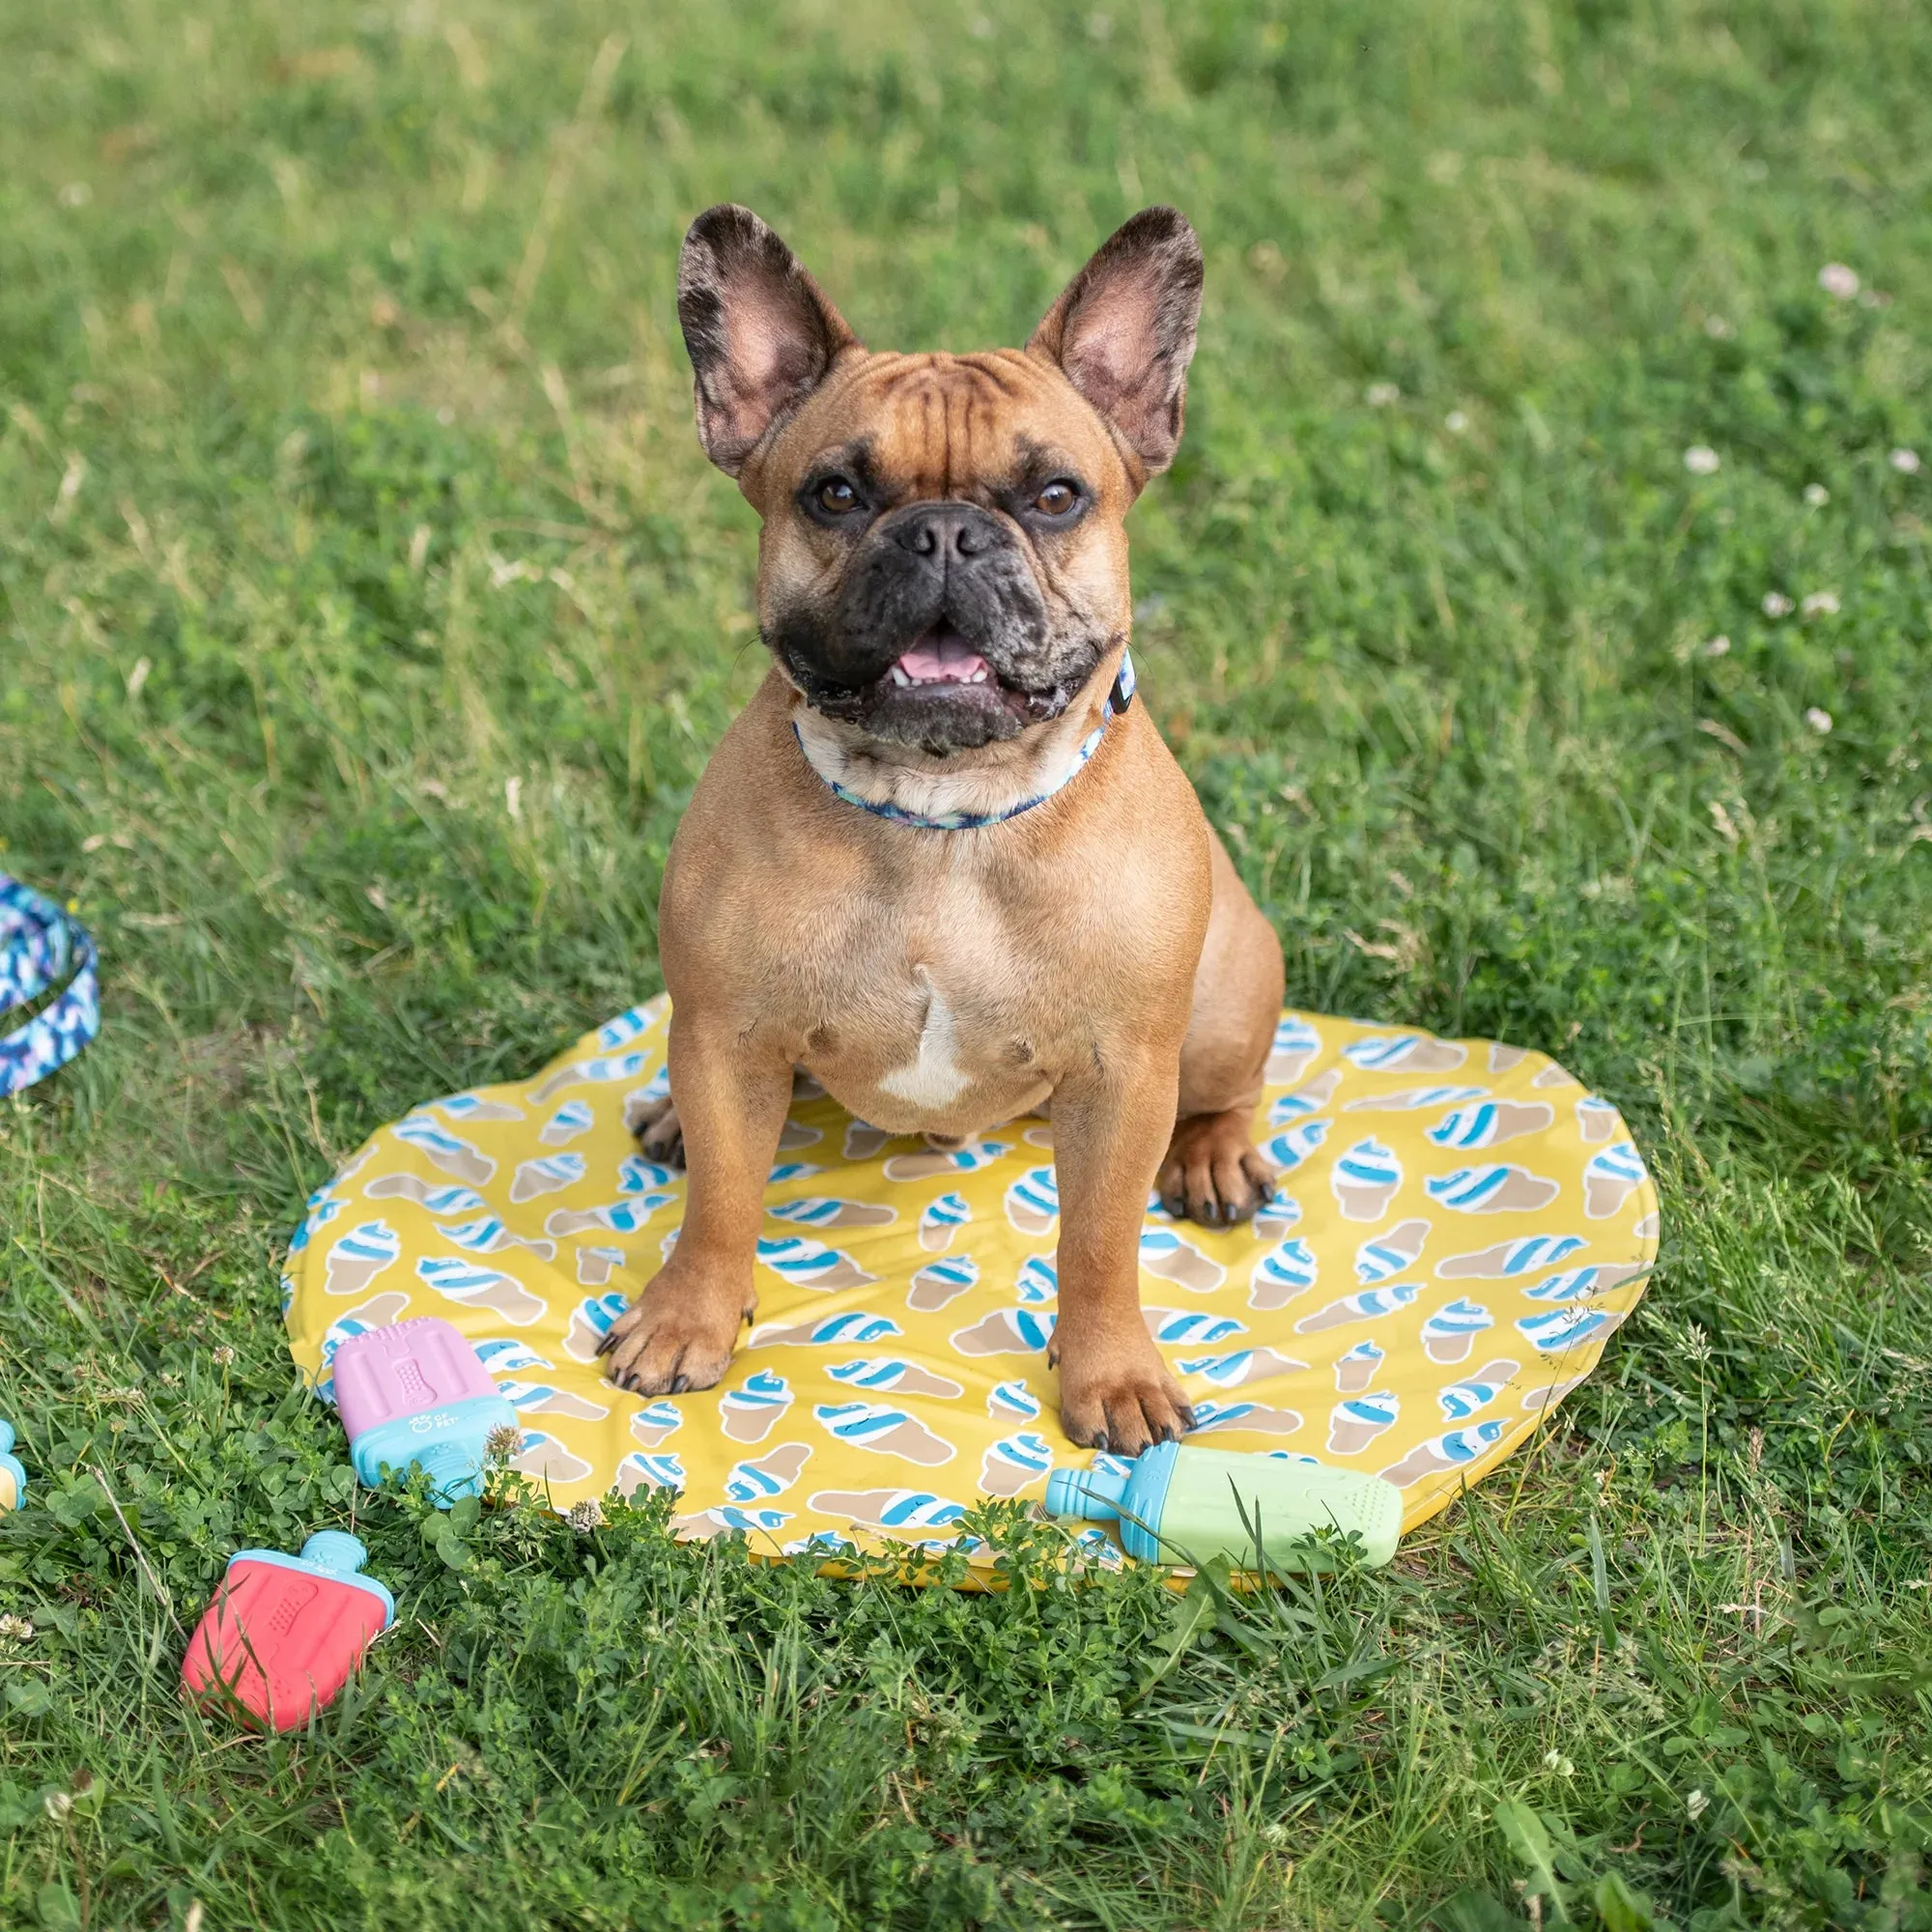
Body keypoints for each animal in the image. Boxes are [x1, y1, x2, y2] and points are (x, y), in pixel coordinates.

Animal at [599, 212, 1283, 1453]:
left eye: (1055, 494)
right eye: (833, 492)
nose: (948, 534)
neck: (940, 812)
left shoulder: (1121, 1076)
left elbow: (1098, 1242)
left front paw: (1111, 1373)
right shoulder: (725, 1036)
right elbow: (720, 1201)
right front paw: (685, 1317)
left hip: (1217, 1001)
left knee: (1229, 1084)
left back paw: (1214, 1155)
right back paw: (668, 1114)